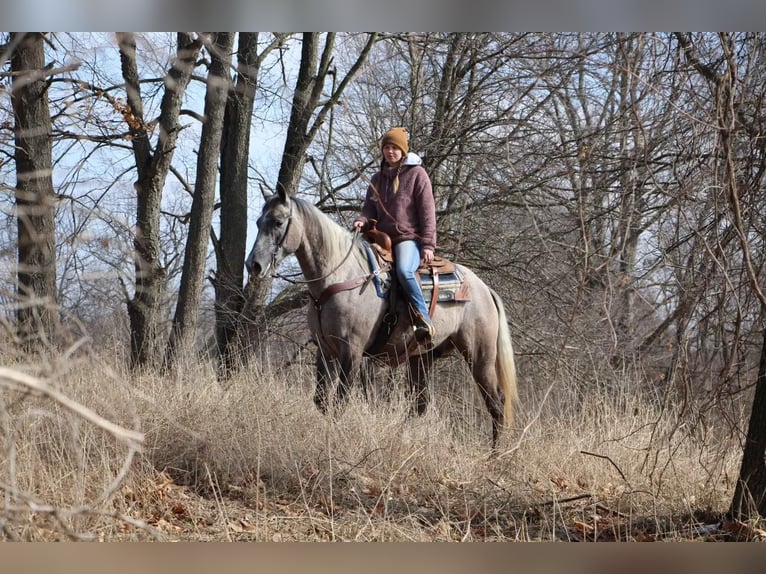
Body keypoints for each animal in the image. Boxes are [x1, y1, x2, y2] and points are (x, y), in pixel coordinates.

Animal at [248, 189, 520, 450]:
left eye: (278, 221)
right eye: (259, 222)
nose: (254, 265)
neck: (339, 276)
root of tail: (484, 289)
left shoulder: (352, 351)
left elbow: (340, 402)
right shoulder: (325, 350)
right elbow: (321, 401)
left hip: (480, 355)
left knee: (496, 403)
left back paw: (495, 455)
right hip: (423, 357)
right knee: (419, 404)